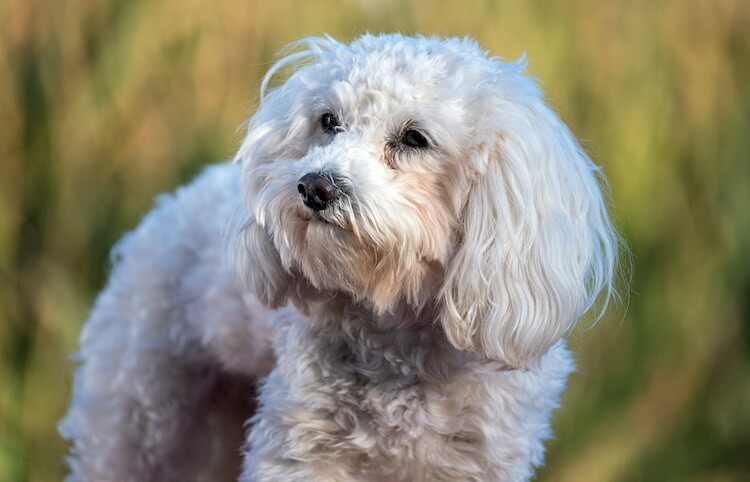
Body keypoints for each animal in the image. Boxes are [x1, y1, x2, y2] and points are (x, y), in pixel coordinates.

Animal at [61, 34, 620, 482]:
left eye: (414, 138)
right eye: (328, 121)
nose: (315, 186)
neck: (400, 326)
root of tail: (168, 203)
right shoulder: (299, 453)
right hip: (137, 421)